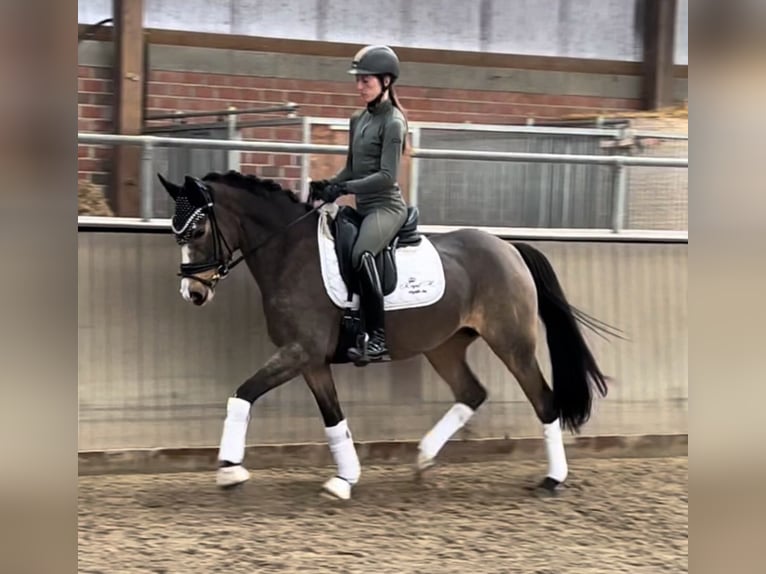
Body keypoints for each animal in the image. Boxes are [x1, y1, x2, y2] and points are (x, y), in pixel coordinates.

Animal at [157, 170, 611, 501]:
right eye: (176, 233)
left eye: (196, 231)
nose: (192, 293)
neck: (289, 253)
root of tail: (510, 249)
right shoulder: (310, 360)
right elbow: (333, 418)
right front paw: (344, 480)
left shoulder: (299, 352)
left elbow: (242, 394)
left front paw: (230, 471)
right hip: (444, 346)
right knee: (472, 393)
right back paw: (424, 460)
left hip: (512, 343)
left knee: (544, 401)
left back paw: (553, 480)